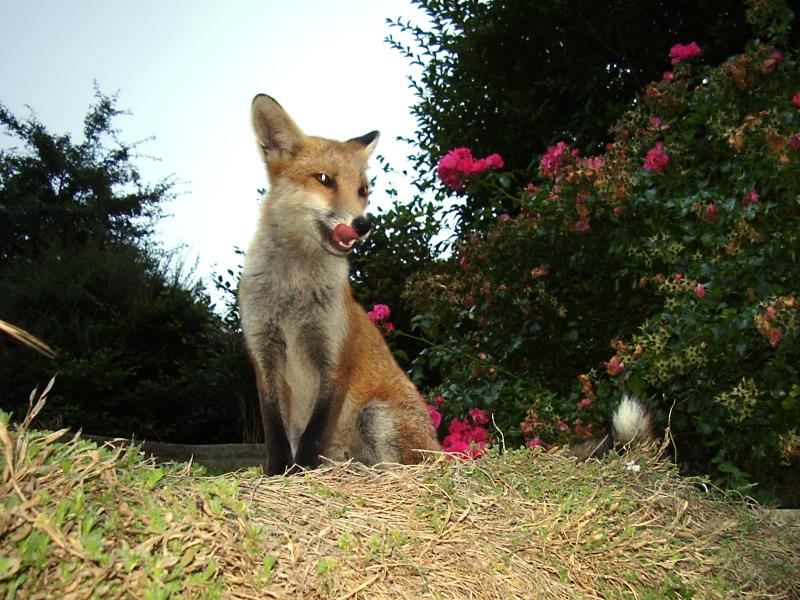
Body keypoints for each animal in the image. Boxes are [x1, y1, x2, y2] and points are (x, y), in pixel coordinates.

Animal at [239, 94, 438, 476]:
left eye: (362, 191)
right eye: (323, 179)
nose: (363, 224)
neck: (293, 291)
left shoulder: (334, 354)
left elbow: (315, 432)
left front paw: (302, 469)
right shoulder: (263, 354)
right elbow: (274, 430)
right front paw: (278, 471)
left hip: (374, 416)